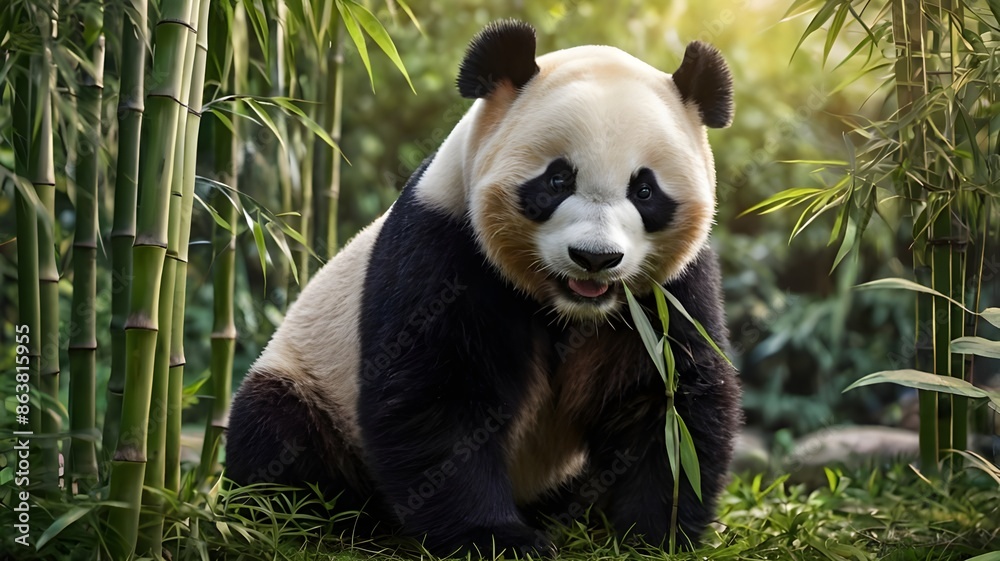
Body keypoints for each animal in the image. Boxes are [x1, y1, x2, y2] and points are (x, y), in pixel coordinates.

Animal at [226, 19, 741, 557]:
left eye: (644, 190)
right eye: (557, 180)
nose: (595, 259)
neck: (566, 308)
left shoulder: (668, 290)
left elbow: (668, 401)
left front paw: (655, 533)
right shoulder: (444, 246)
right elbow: (440, 394)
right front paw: (498, 538)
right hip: (310, 383)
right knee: (280, 437)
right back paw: (336, 515)